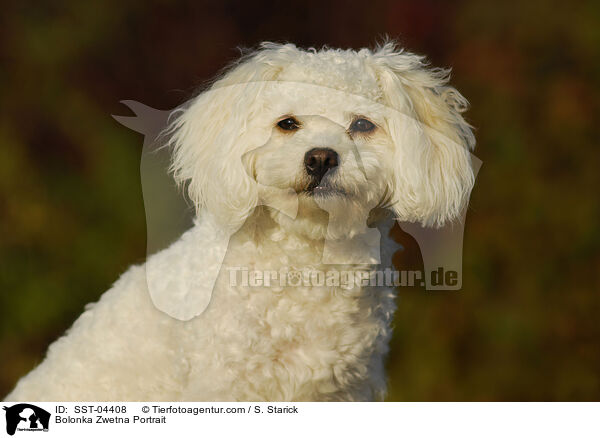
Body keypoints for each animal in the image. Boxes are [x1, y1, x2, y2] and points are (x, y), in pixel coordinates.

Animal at [3, 42, 474, 402]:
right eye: (287, 123)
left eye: (362, 124)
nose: (321, 157)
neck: (308, 262)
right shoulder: (225, 387)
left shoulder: (346, 389)